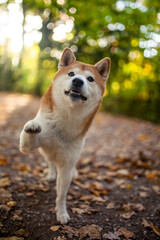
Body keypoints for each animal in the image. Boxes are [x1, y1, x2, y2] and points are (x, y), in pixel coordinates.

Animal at [19, 47, 110, 224]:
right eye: (71, 74)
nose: (78, 81)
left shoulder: (66, 165)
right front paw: (32, 125)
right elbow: (28, 136)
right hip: (45, 152)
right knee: (50, 161)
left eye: (90, 79)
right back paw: (50, 174)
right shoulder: (28, 145)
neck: (66, 117)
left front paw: (61, 213)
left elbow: (61, 195)